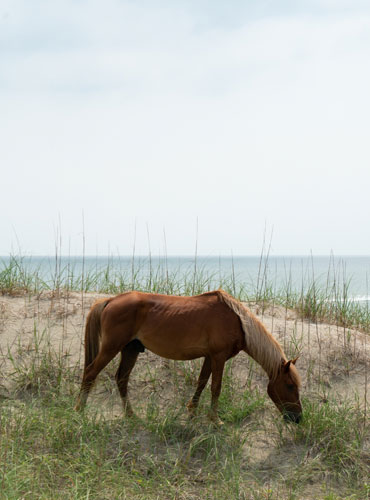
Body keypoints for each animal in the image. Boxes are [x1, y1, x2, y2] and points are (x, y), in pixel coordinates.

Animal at [74, 292, 300, 424]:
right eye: (290, 385)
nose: (298, 418)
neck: (238, 321)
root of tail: (110, 300)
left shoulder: (210, 357)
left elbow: (202, 382)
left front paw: (192, 410)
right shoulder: (219, 357)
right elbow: (215, 387)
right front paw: (214, 420)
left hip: (130, 350)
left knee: (121, 379)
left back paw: (131, 415)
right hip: (111, 348)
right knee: (91, 373)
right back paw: (79, 411)